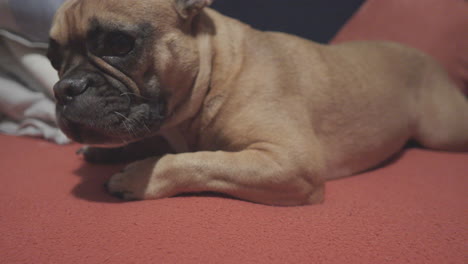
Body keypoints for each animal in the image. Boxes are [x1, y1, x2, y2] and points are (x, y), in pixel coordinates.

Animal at [48, 0, 468, 206]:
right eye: (52, 57)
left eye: (119, 44)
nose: (64, 88)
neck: (218, 67)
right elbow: (156, 142)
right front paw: (107, 151)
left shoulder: (288, 161)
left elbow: (197, 161)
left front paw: (137, 176)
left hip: (444, 131)